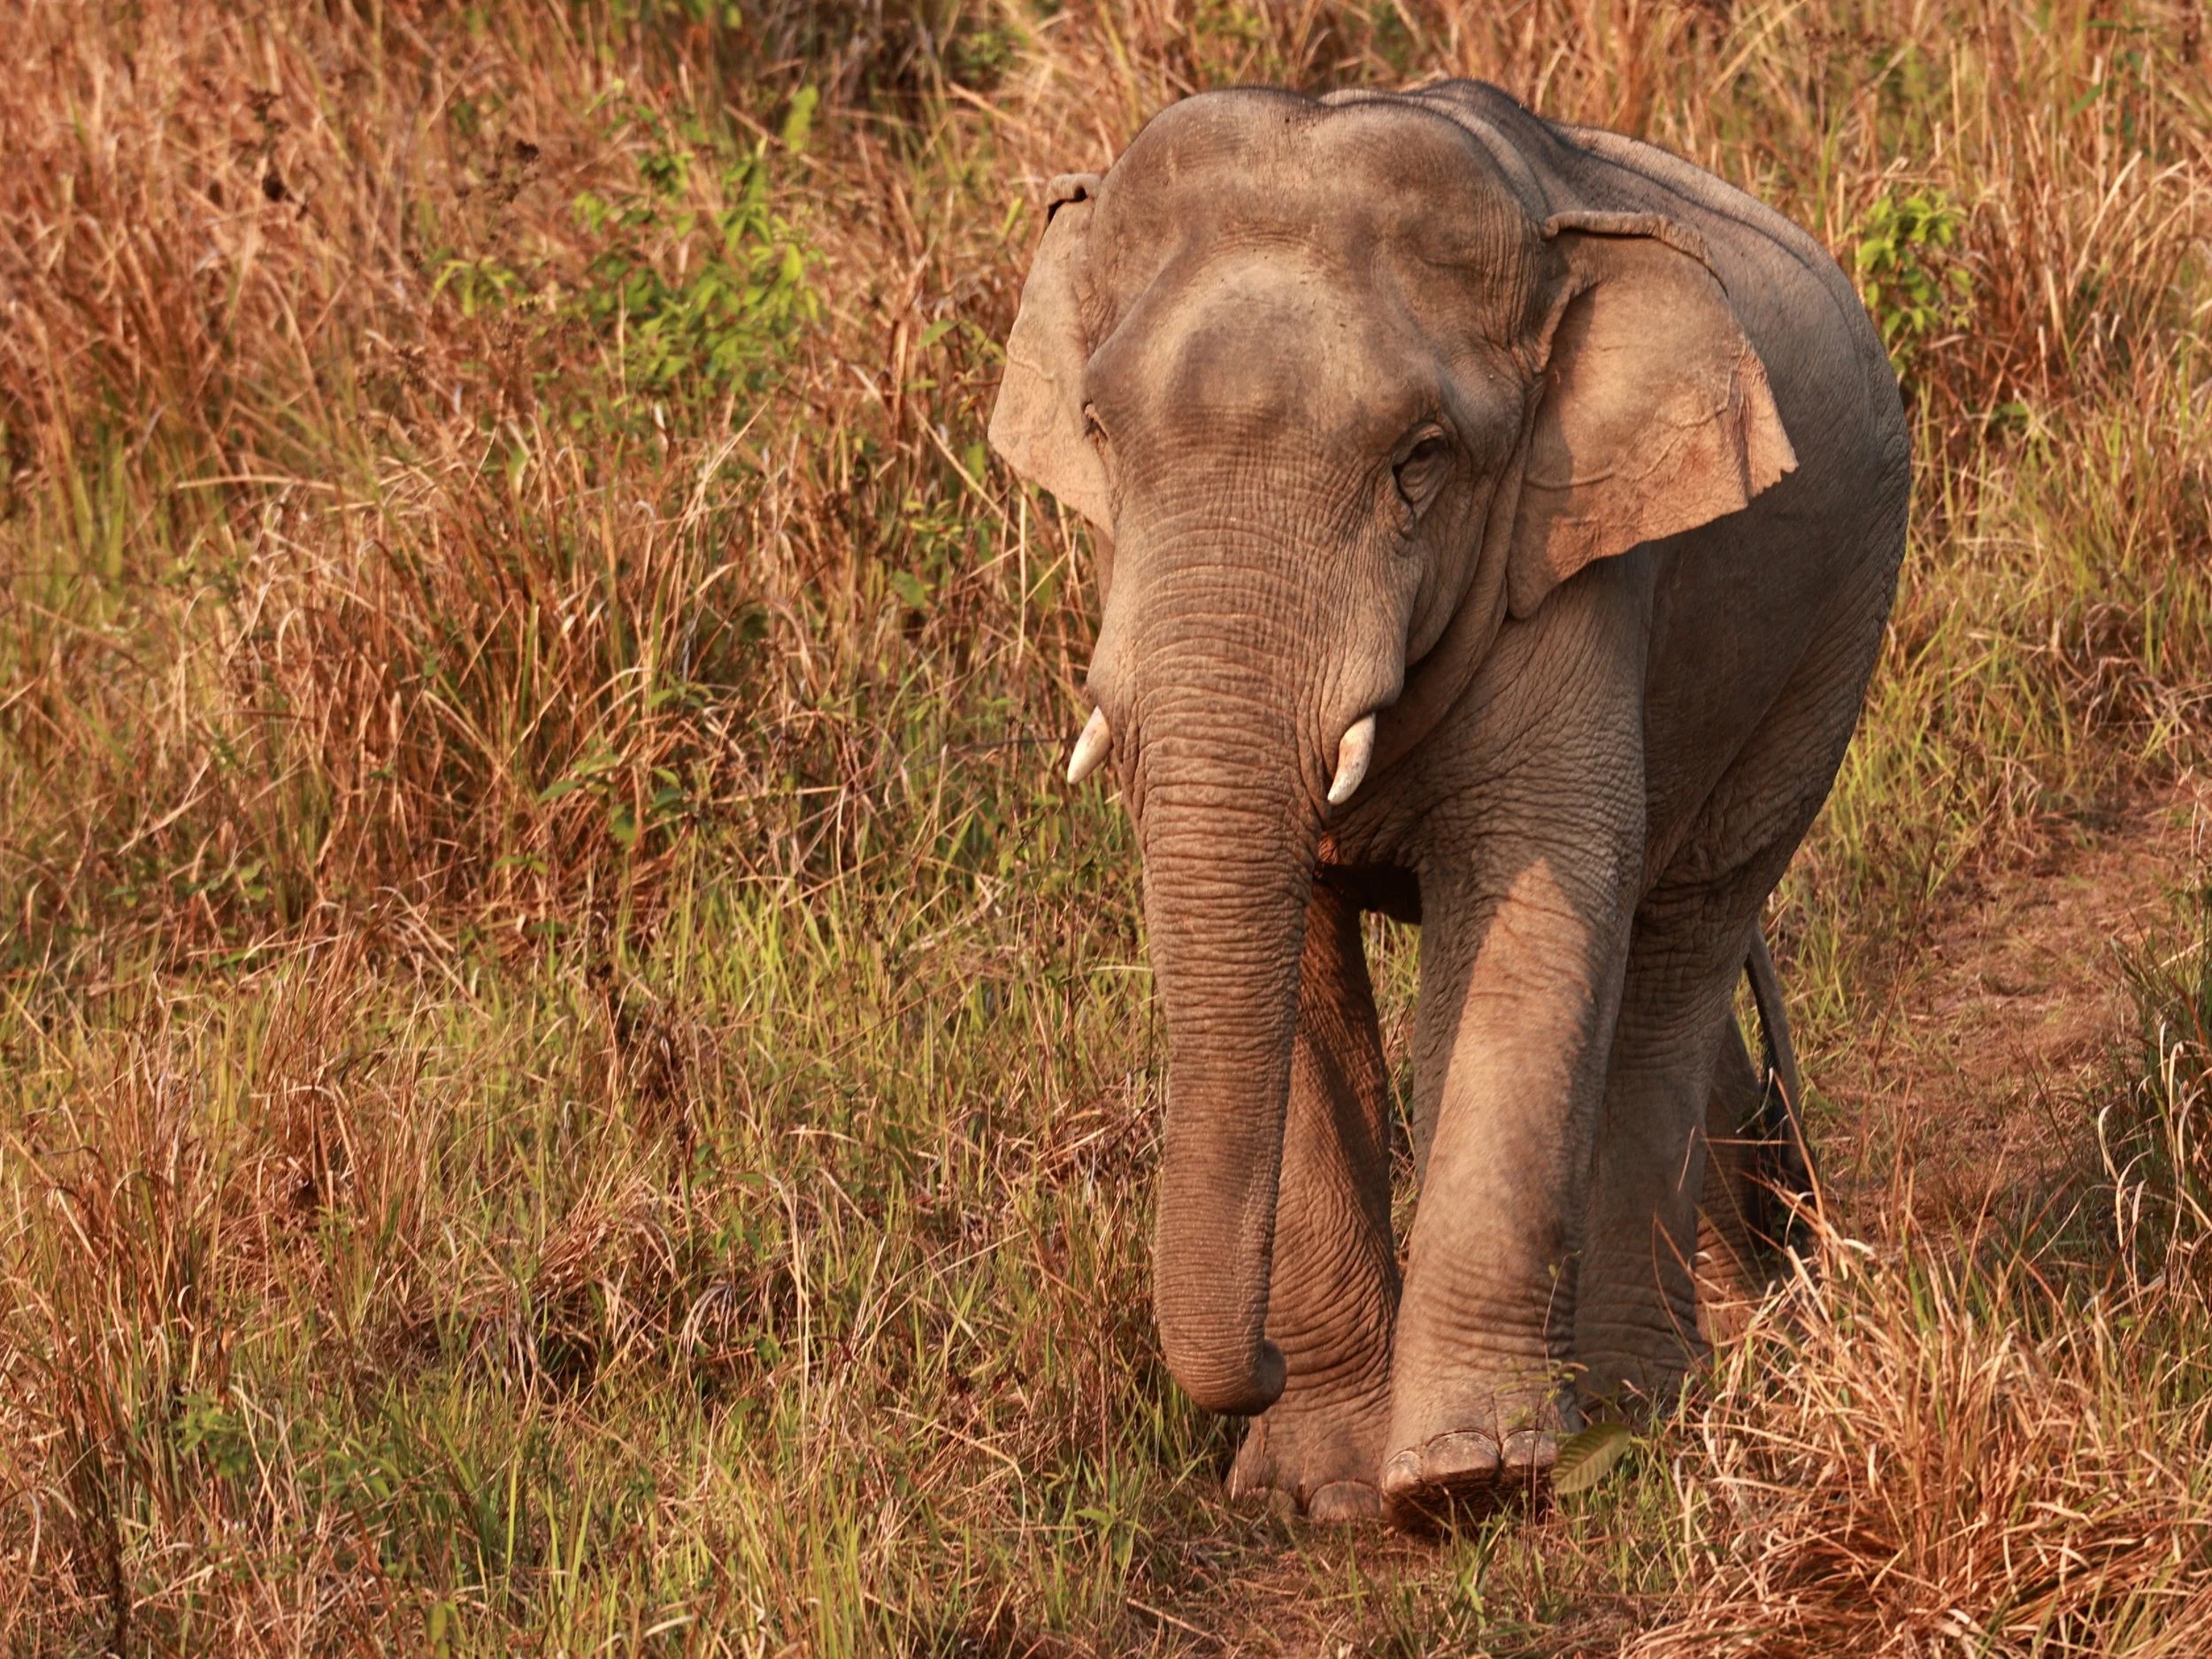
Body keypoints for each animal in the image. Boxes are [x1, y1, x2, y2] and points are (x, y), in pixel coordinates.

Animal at [988, 79, 1907, 1527]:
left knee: (1679, 951)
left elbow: (1525, 924)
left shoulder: (1579, 556)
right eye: (1098, 434)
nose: (1246, 1368)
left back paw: (1646, 1394)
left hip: (1835, 636)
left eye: (1421, 460)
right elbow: (1292, 958)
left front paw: (1468, 1481)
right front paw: (1314, 1490)